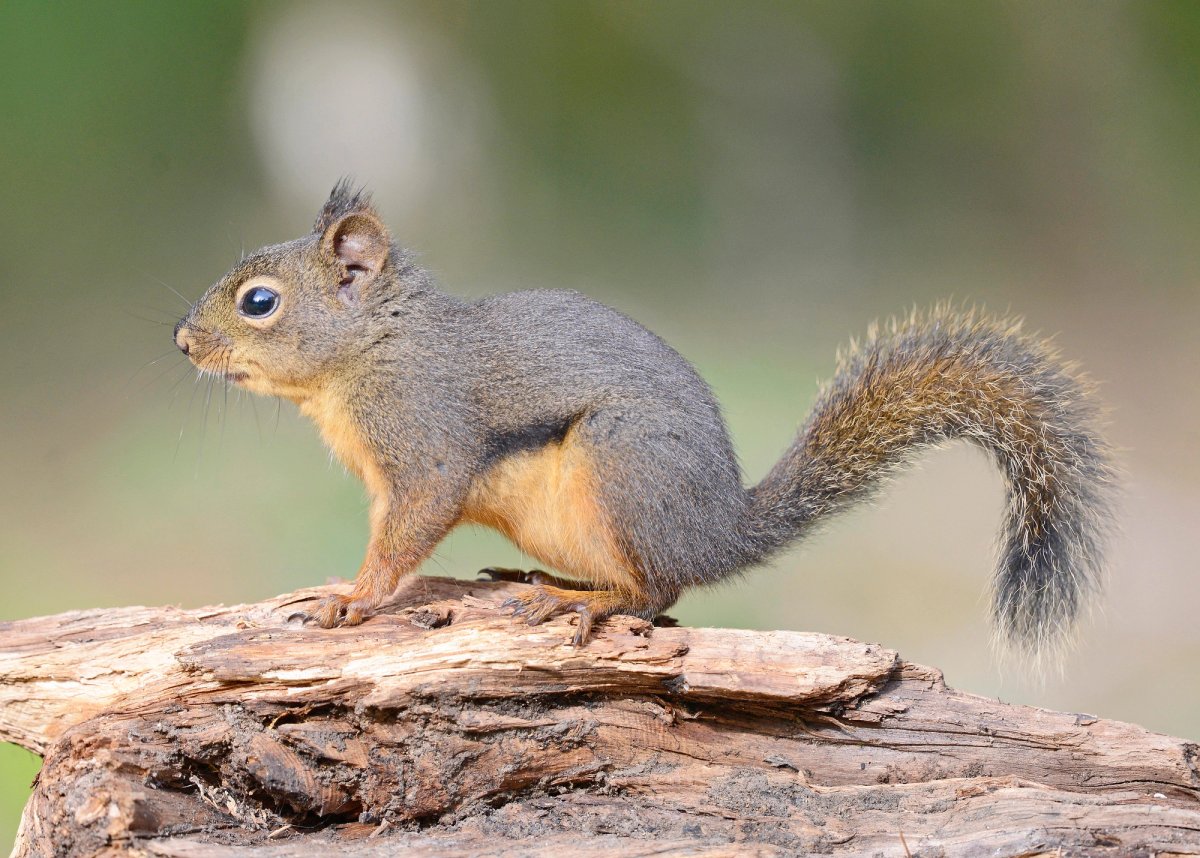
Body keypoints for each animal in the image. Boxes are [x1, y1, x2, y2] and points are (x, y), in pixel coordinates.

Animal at [174, 181, 1115, 656]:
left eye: (259, 302)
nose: (181, 341)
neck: (370, 350)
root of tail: (718, 532)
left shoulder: (424, 438)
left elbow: (409, 529)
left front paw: (352, 601)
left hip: (620, 466)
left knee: (658, 592)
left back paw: (584, 605)